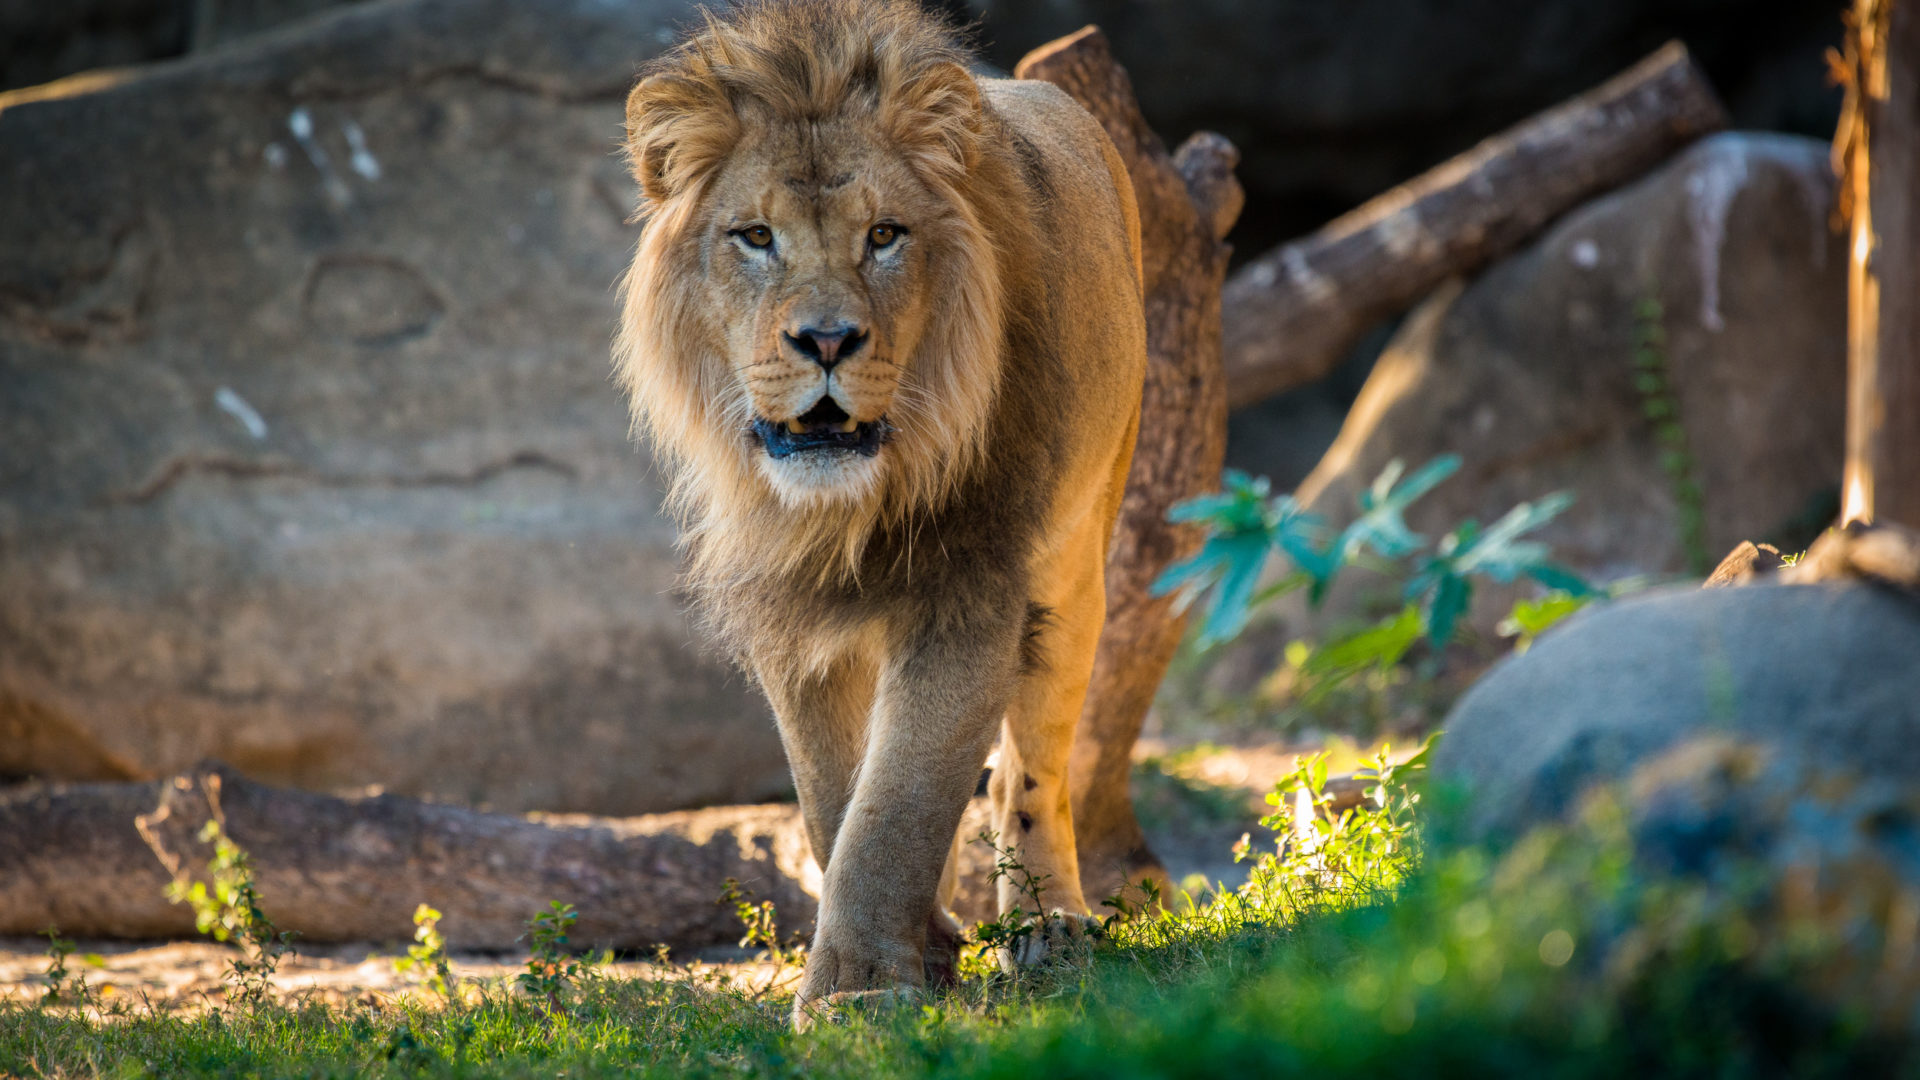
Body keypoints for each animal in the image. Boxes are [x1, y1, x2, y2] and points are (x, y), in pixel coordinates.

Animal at [622, 0, 1144, 1022]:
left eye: (885, 235)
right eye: (755, 237)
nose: (826, 340)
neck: (847, 505)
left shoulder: (968, 588)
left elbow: (900, 796)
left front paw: (858, 990)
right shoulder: (791, 616)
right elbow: (839, 800)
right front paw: (910, 950)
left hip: (1078, 563)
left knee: (1034, 770)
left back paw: (1052, 926)